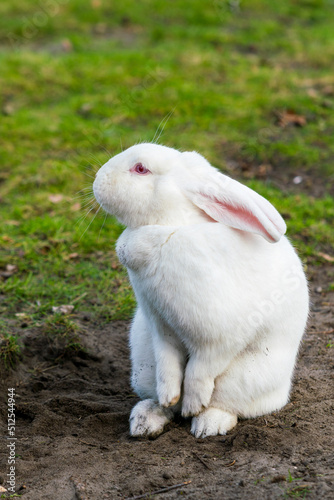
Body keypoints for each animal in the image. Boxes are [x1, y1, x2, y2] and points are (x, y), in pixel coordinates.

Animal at [92, 142, 310, 438]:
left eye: (140, 169)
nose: (97, 180)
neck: (171, 226)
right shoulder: (160, 326)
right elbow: (169, 366)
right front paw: (169, 396)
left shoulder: (220, 336)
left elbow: (200, 371)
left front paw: (193, 405)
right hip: (144, 362)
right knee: (165, 403)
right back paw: (147, 419)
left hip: (246, 379)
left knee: (228, 406)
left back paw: (207, 425)